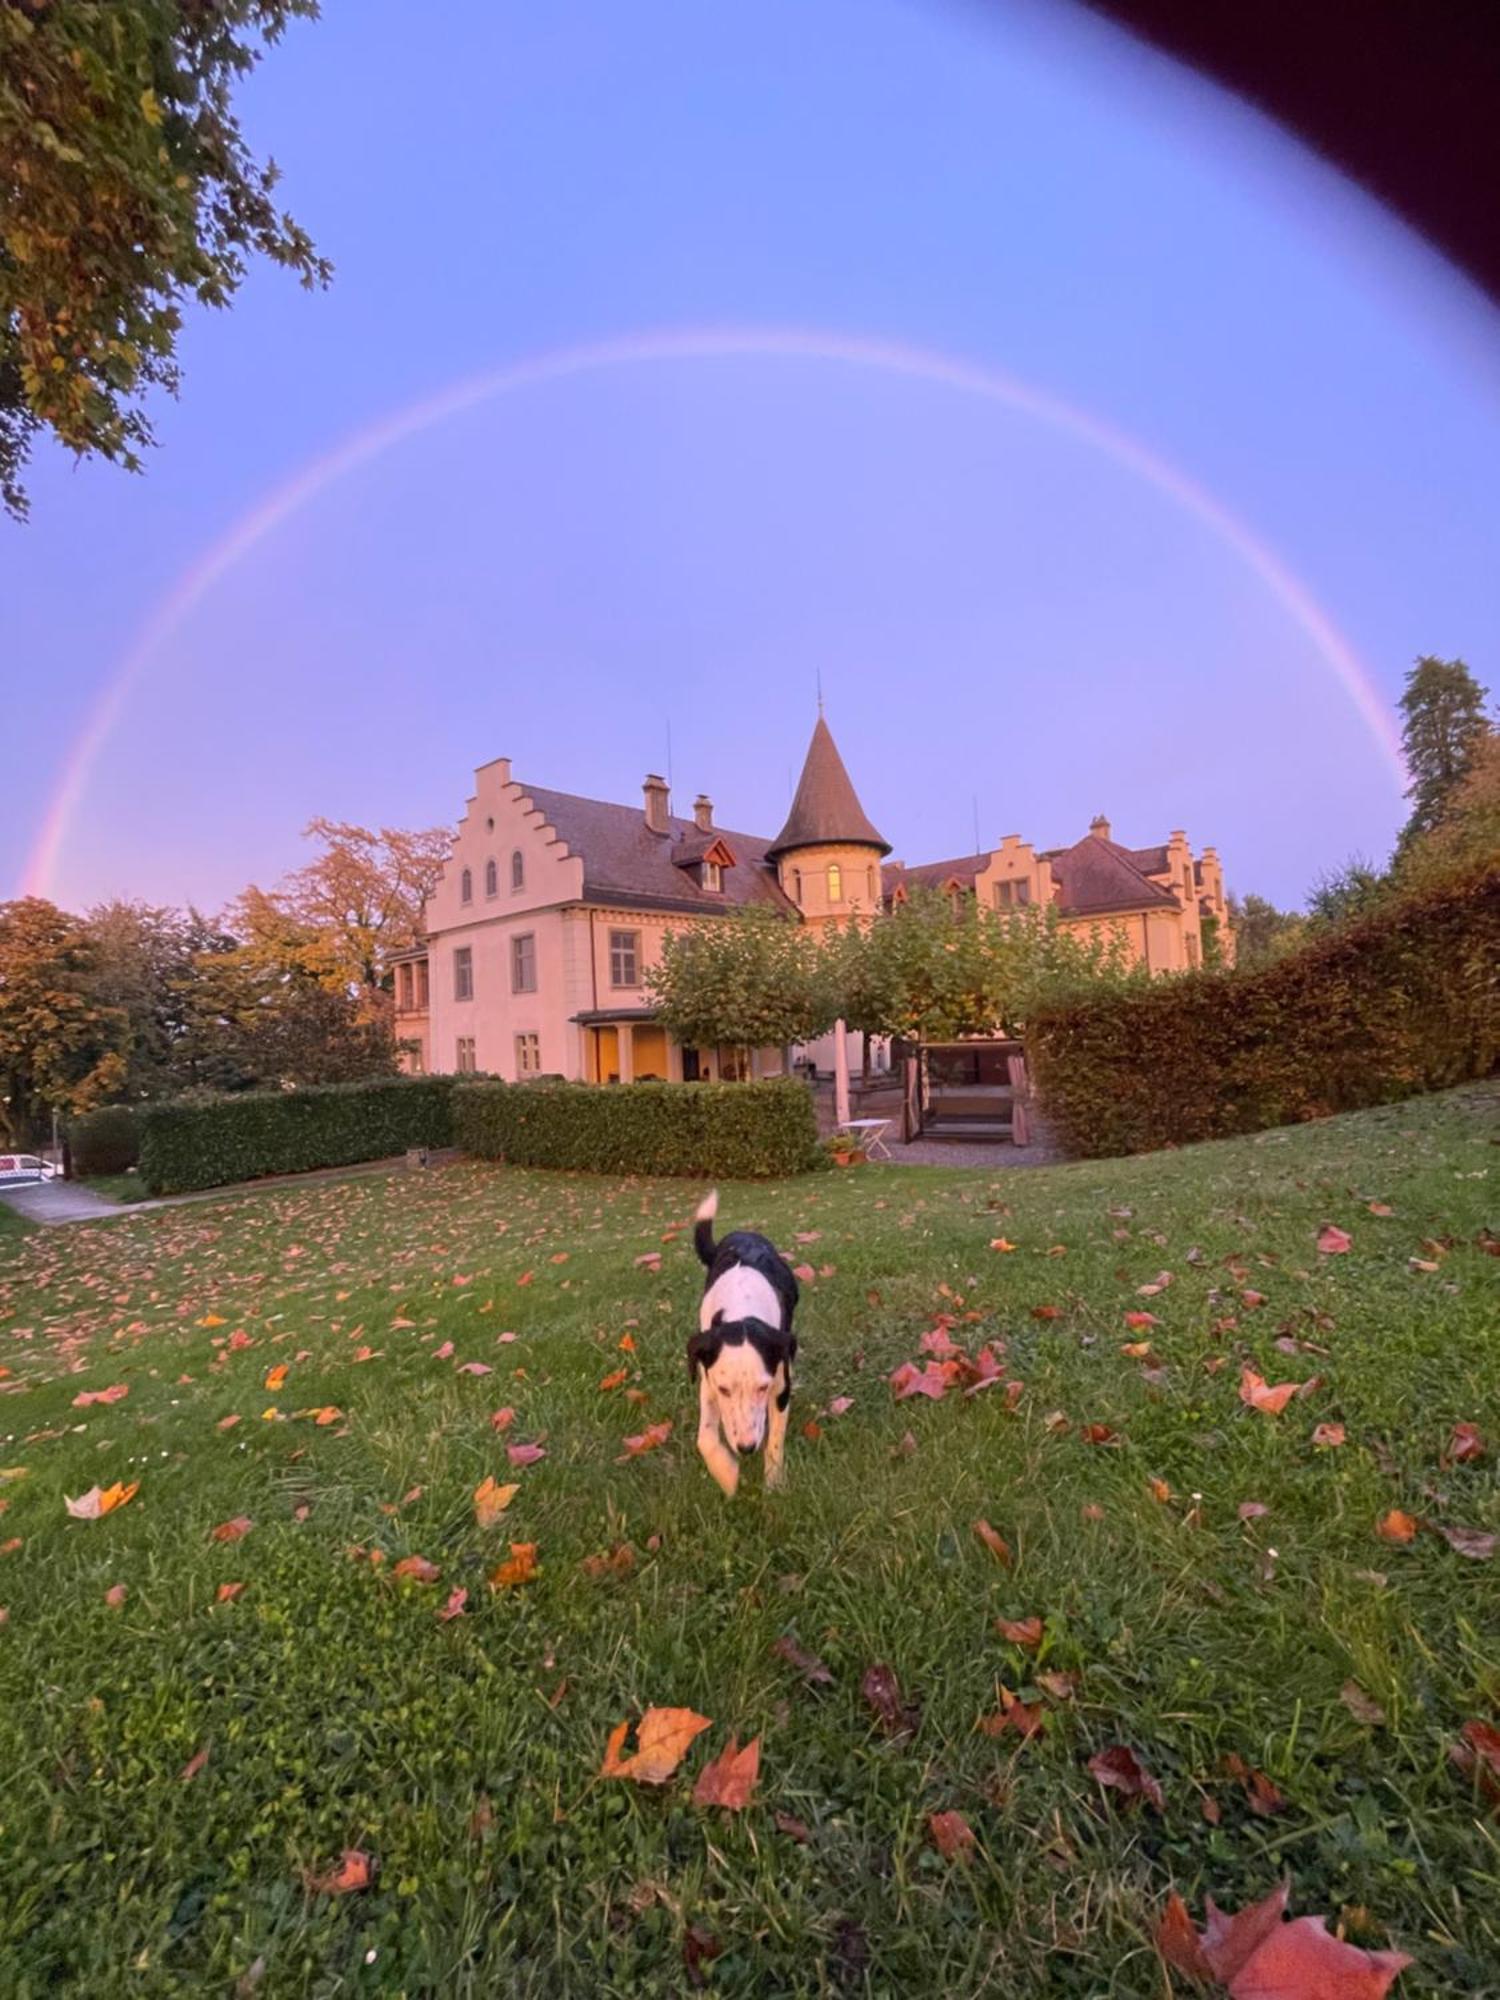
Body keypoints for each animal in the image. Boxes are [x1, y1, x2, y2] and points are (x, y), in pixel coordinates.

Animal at [692, 1192, 800, 1496]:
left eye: (762, 1387)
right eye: (724, 1390)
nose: (746, 1447)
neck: (742, 1304)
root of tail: (743, 1233)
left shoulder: (780, 1384)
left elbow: (774, 1441)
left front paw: (773, 1485)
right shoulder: (707, 1380)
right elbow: (705, 1438)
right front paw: (727, 1474)